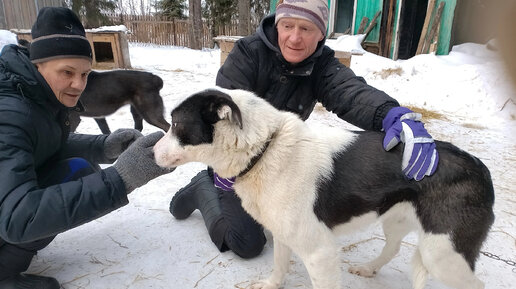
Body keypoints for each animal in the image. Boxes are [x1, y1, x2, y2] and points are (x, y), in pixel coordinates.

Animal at [154, 88, 496, 288]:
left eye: (176, 124)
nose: (152, 152)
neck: (267, 149)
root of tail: (480, 168)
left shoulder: (320, 254)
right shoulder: (283, 234)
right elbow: (279, 266)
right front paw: (272, 284)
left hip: (443, 253)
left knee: (473, 285)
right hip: (398, 221)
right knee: (393, 247)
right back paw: (369, 269)